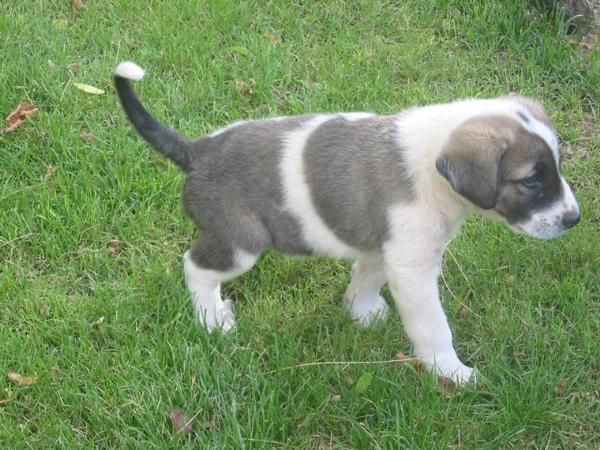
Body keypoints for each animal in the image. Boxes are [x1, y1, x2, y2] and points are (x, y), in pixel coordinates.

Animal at [113, 60, 580, 384]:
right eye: (531, 181)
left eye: (556, 167)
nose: (573, 219)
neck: (433, 165)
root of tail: (197, 152)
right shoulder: (414, 268)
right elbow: (434, 328)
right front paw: (452, 373)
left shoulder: (385, 248)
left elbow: (366, 278)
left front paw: (361, 312)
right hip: (240, 243)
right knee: (196, 267)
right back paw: (212, 321)